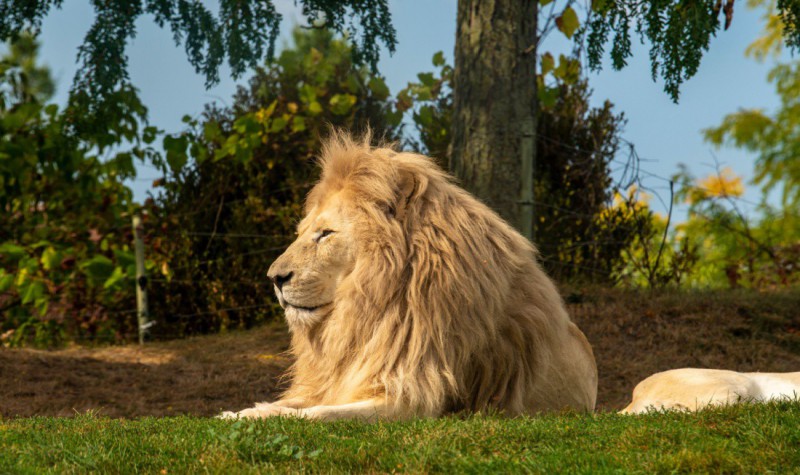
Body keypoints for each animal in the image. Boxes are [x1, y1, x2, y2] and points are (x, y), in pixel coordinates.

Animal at [222, 132, 596, 422]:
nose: (274, 277)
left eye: (326, 234)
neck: (367, 309)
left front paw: (257, 417)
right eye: (301, 233)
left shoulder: (413, 398)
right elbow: (296, 401)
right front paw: (240, 412)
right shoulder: (340, 380)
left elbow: (317, 414)